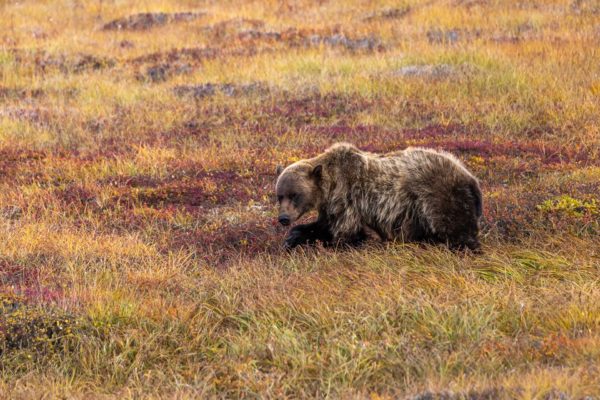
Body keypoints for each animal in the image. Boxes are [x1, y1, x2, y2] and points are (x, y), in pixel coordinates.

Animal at [276, 143, 482, 250]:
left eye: (295, 195)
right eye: (279, 196)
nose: (283, 218)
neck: (329, 187)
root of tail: (469, 176)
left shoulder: (347, 199)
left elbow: (347, 233)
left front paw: (334, 245)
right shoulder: (330, 207)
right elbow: (322, 226)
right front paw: (292, 239)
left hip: (440, 197)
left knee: (455, 228)